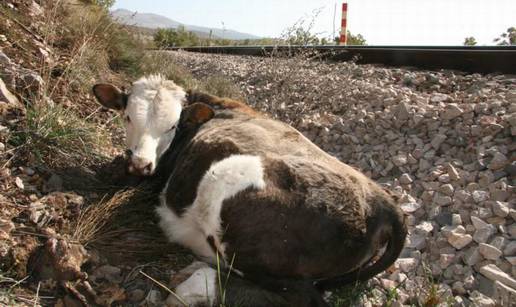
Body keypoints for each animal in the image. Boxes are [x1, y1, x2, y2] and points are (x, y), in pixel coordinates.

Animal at [92, 75, 408, 307]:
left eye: (172, 125)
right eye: (128, 117)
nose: (140, 163)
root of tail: (383, 202)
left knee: (301, 300)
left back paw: (196, 285)